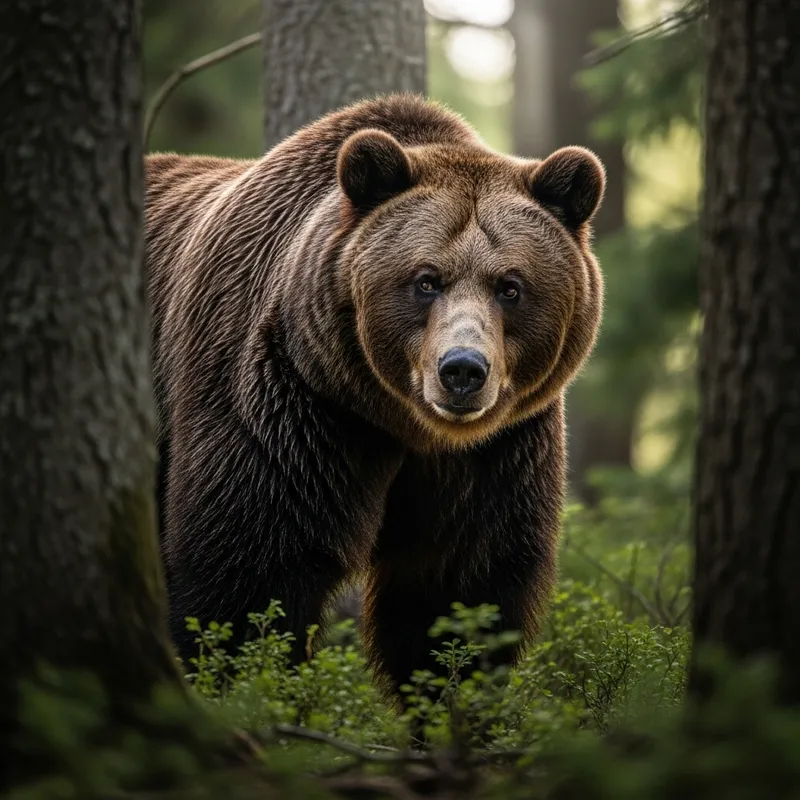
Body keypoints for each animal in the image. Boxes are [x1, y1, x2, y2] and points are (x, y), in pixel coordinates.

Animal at [144, 93, 605, 699]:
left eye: (511, 286)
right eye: (426, 279)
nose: (462, 370)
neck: (401, 425)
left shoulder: (496, 454)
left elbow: (458, 587)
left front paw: (451, 697)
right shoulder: (289, 405)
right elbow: (249, 573)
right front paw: (248, 688)